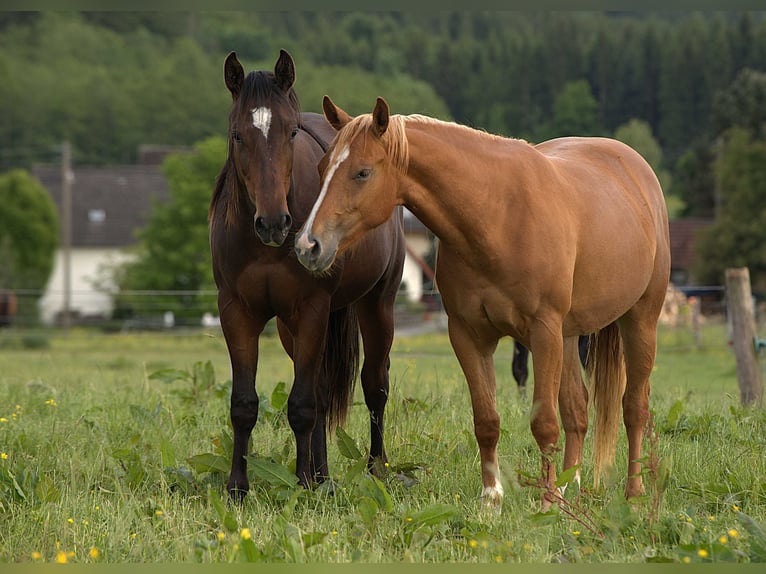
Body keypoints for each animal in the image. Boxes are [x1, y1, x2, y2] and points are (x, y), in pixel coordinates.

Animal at [210, 52, 406, 500]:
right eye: (237, 135)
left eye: (291, 130)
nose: (273, 223)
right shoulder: (237, 312)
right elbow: (244, 404)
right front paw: (238, 487)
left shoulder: (312, 308)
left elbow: (301, 405)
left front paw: (300, 485)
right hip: (291, 326)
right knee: (319, 387)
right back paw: (321, 475)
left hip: (377, 305)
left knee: (374, 386)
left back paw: (375, 470)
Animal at [295, 96, 670, 509]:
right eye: (321, 167)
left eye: (362, 172)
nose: (308, 245)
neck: (498, 216)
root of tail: (635, 169)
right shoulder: (469, 335)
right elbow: (486, 420)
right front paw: (492, 499)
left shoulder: (543, 333)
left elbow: (544, 422)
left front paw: (546, 505)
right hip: (571, 335)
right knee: (577, 408)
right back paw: (568, 486)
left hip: (639, 321)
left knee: (634, 407)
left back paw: (632, 492)